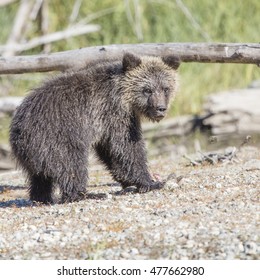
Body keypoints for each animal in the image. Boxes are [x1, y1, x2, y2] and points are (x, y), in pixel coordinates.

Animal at [9, 52, 179, 203]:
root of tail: (17, 130)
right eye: (147, 90)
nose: (160, 108)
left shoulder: (105, 123)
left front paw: (129, 181)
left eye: (165, 88)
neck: (124, 96)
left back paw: (42, 198)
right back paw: (87, 194)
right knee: (72, 166)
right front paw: (150, 182)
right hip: (58, 136)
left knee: (39, 177)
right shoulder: (113, 113)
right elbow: (126, 147)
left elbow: (110, 150)